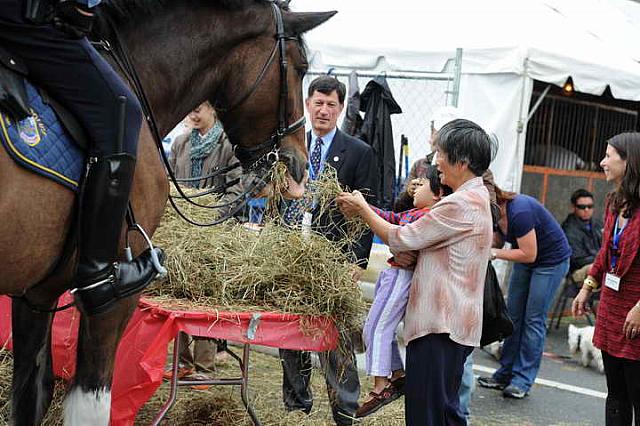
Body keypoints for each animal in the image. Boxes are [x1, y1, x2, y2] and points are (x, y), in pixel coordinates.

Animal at [1, 1, 336, 424]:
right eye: (300, 66)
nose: (298, 163)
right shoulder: (112, 304)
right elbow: (90, 405)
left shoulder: (37, 293)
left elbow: (29, 395)